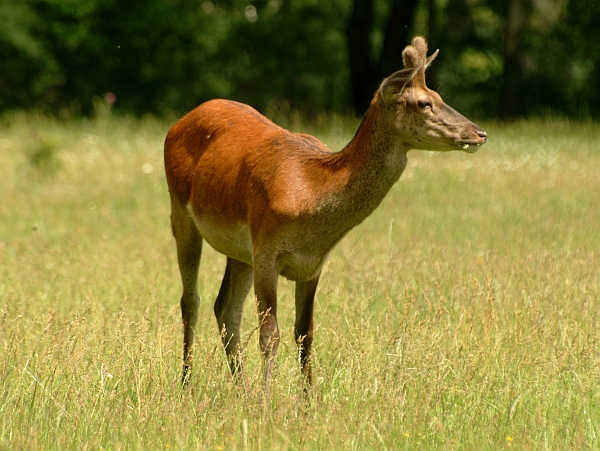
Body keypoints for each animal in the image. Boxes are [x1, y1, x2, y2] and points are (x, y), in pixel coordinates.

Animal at [164, 37, 488, 394]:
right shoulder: (266, 248)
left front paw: (308, 400)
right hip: (181, 212)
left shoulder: (312, 263)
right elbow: (270, 335)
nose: (479, 133)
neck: (311, 193)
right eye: (423, 103)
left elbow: (305, 334)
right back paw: (186, 383)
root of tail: (179, 122)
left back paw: (241, 388)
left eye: (441, 98)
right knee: (191, 301)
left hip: (239, 250)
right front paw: (267, 399)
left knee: (225, 308)